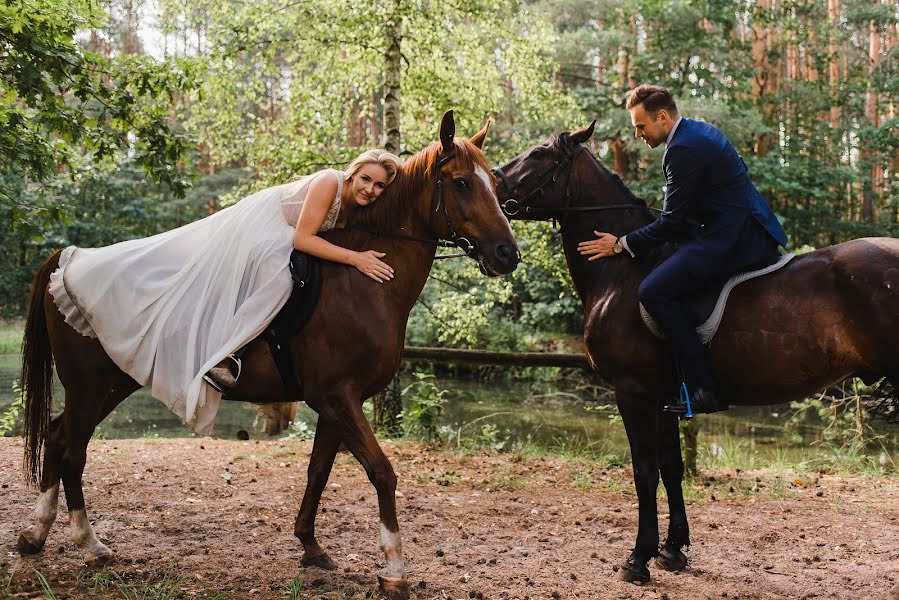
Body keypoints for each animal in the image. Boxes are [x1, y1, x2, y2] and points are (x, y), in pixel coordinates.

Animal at [15, 110, 520, 596]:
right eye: (461, 182)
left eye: (496, 186)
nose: (507, 254)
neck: (360, 285)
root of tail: (69, 258)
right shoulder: (337, 397)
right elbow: (382, 472)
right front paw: (393, 569)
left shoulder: (336, 404)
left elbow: (319, 472)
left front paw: (311, 547)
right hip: (90, 385)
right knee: (71, 448)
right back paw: (87, 543)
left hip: (112, 382)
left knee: (59, 439)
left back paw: (38, 535)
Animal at [492, 123, 899, 584]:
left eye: (539, 154)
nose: (490, 183)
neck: (624, 273)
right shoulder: (666, 395)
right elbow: (672, 468)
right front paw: (673, 550)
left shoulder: (633, 391)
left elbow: (643, 472)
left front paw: (638, 558)